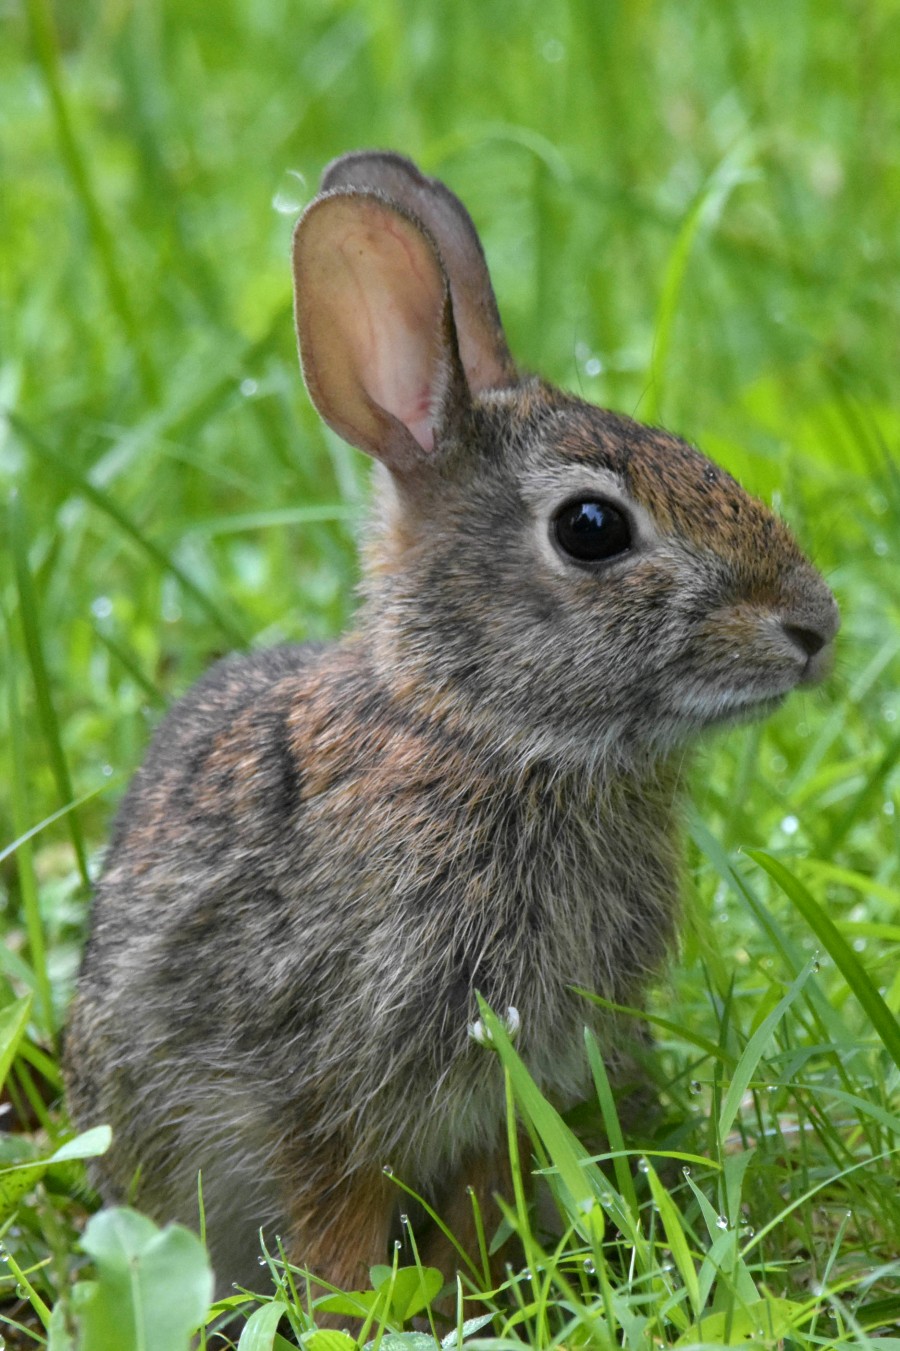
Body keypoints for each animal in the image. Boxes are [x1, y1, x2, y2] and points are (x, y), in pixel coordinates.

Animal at [65, 150, 839, 1303]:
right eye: (592, 528)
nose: (815, 628)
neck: (482, 734)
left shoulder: (514, 1092)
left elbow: (480, 1204)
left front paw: (472, 1294)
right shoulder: (326, 1086)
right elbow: (338, 1220)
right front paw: (361, 1313)